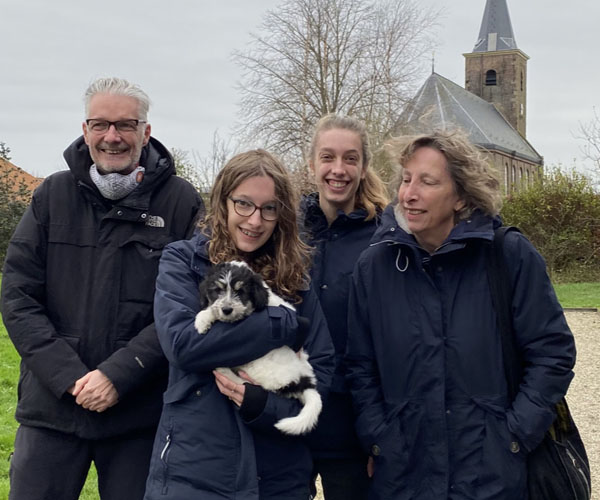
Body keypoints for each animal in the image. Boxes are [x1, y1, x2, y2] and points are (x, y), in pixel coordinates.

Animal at [194, 261, 322, 435]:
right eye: (218, 290)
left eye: (240, 292)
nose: (227, 310)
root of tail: (304, 382)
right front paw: (205, 317)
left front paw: (203, 319)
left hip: (260, 370)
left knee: (247, 384)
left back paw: (225, 371)